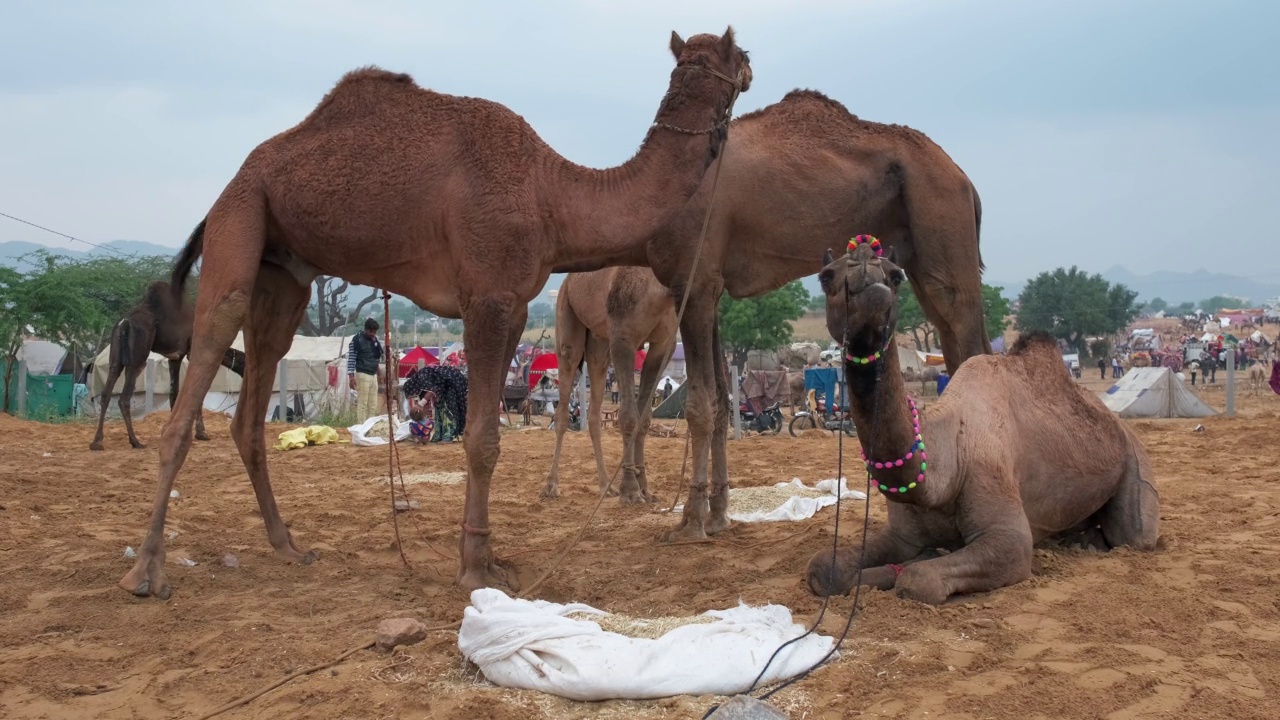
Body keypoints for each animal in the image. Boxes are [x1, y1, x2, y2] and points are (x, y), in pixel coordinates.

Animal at [88, 279, 245, 448]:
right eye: (245, 361)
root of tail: (124, 323)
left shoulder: (174, 357)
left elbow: (173, 393)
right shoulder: (191, 354)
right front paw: (201, 433)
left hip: (115, 357)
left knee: (106, 393)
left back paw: (97, 441)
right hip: (137, 360)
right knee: (124, 398)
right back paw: (135, 441)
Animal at [540, 263, 680, 499]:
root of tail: (568, 280)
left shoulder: (665, 343)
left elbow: (644, 418)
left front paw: (645, 489)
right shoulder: (622, 338)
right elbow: (629, 416)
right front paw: (631, 490)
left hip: (599, 343)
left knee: (595, 413)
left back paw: (606, 486)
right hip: (566, 315)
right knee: (563, 405)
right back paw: (551, 486)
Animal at [645, 88, 993, 538]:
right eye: (828, 277)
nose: (865, 270)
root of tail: (965, 181)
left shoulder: (695, 269)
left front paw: (689, 526)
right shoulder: (710, 280)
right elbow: (721, 394)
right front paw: (716, 517)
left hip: (940, 214)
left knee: (962, 323)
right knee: (951, 328)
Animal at [808, 238, 1162, 602]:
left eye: (896, 276)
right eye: (826, 276)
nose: (865, 259)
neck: (945, 460)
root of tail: (1118, 423)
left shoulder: (1005, 527)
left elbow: (919, 579)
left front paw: (916, 565)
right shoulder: (902, 535)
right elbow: (825, 567)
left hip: (1135, 461)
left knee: (1134, 534)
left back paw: (1091, 542)